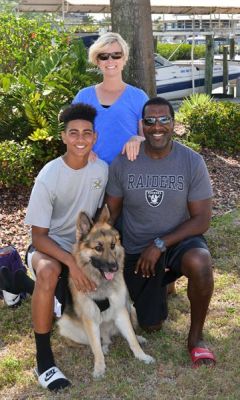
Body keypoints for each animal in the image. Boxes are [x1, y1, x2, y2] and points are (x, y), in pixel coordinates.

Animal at [57, 206, 155, 378]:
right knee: (100, 341)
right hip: (68, 326)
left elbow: (131, 338)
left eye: (113, 245)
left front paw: (141, 356)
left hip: (131, 308)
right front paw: (99, 367)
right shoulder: (90, 319)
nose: (115, 267)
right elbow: (95, 348)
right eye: (98, 248)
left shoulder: (121, 312)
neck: (101, 284)